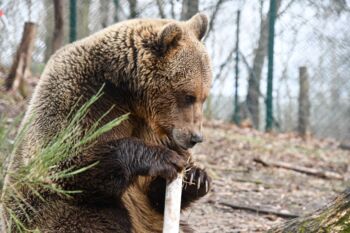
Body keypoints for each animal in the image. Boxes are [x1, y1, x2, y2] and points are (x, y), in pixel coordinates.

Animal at [1, 13, 212, 233]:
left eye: (204, 97)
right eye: (188, 96)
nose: (195, 137)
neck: (127, 93)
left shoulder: (148, 126)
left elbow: (154, 192)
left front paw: (196, 177)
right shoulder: (81, 101)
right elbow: (69, 163)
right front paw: (163, 158)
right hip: (45, 212)